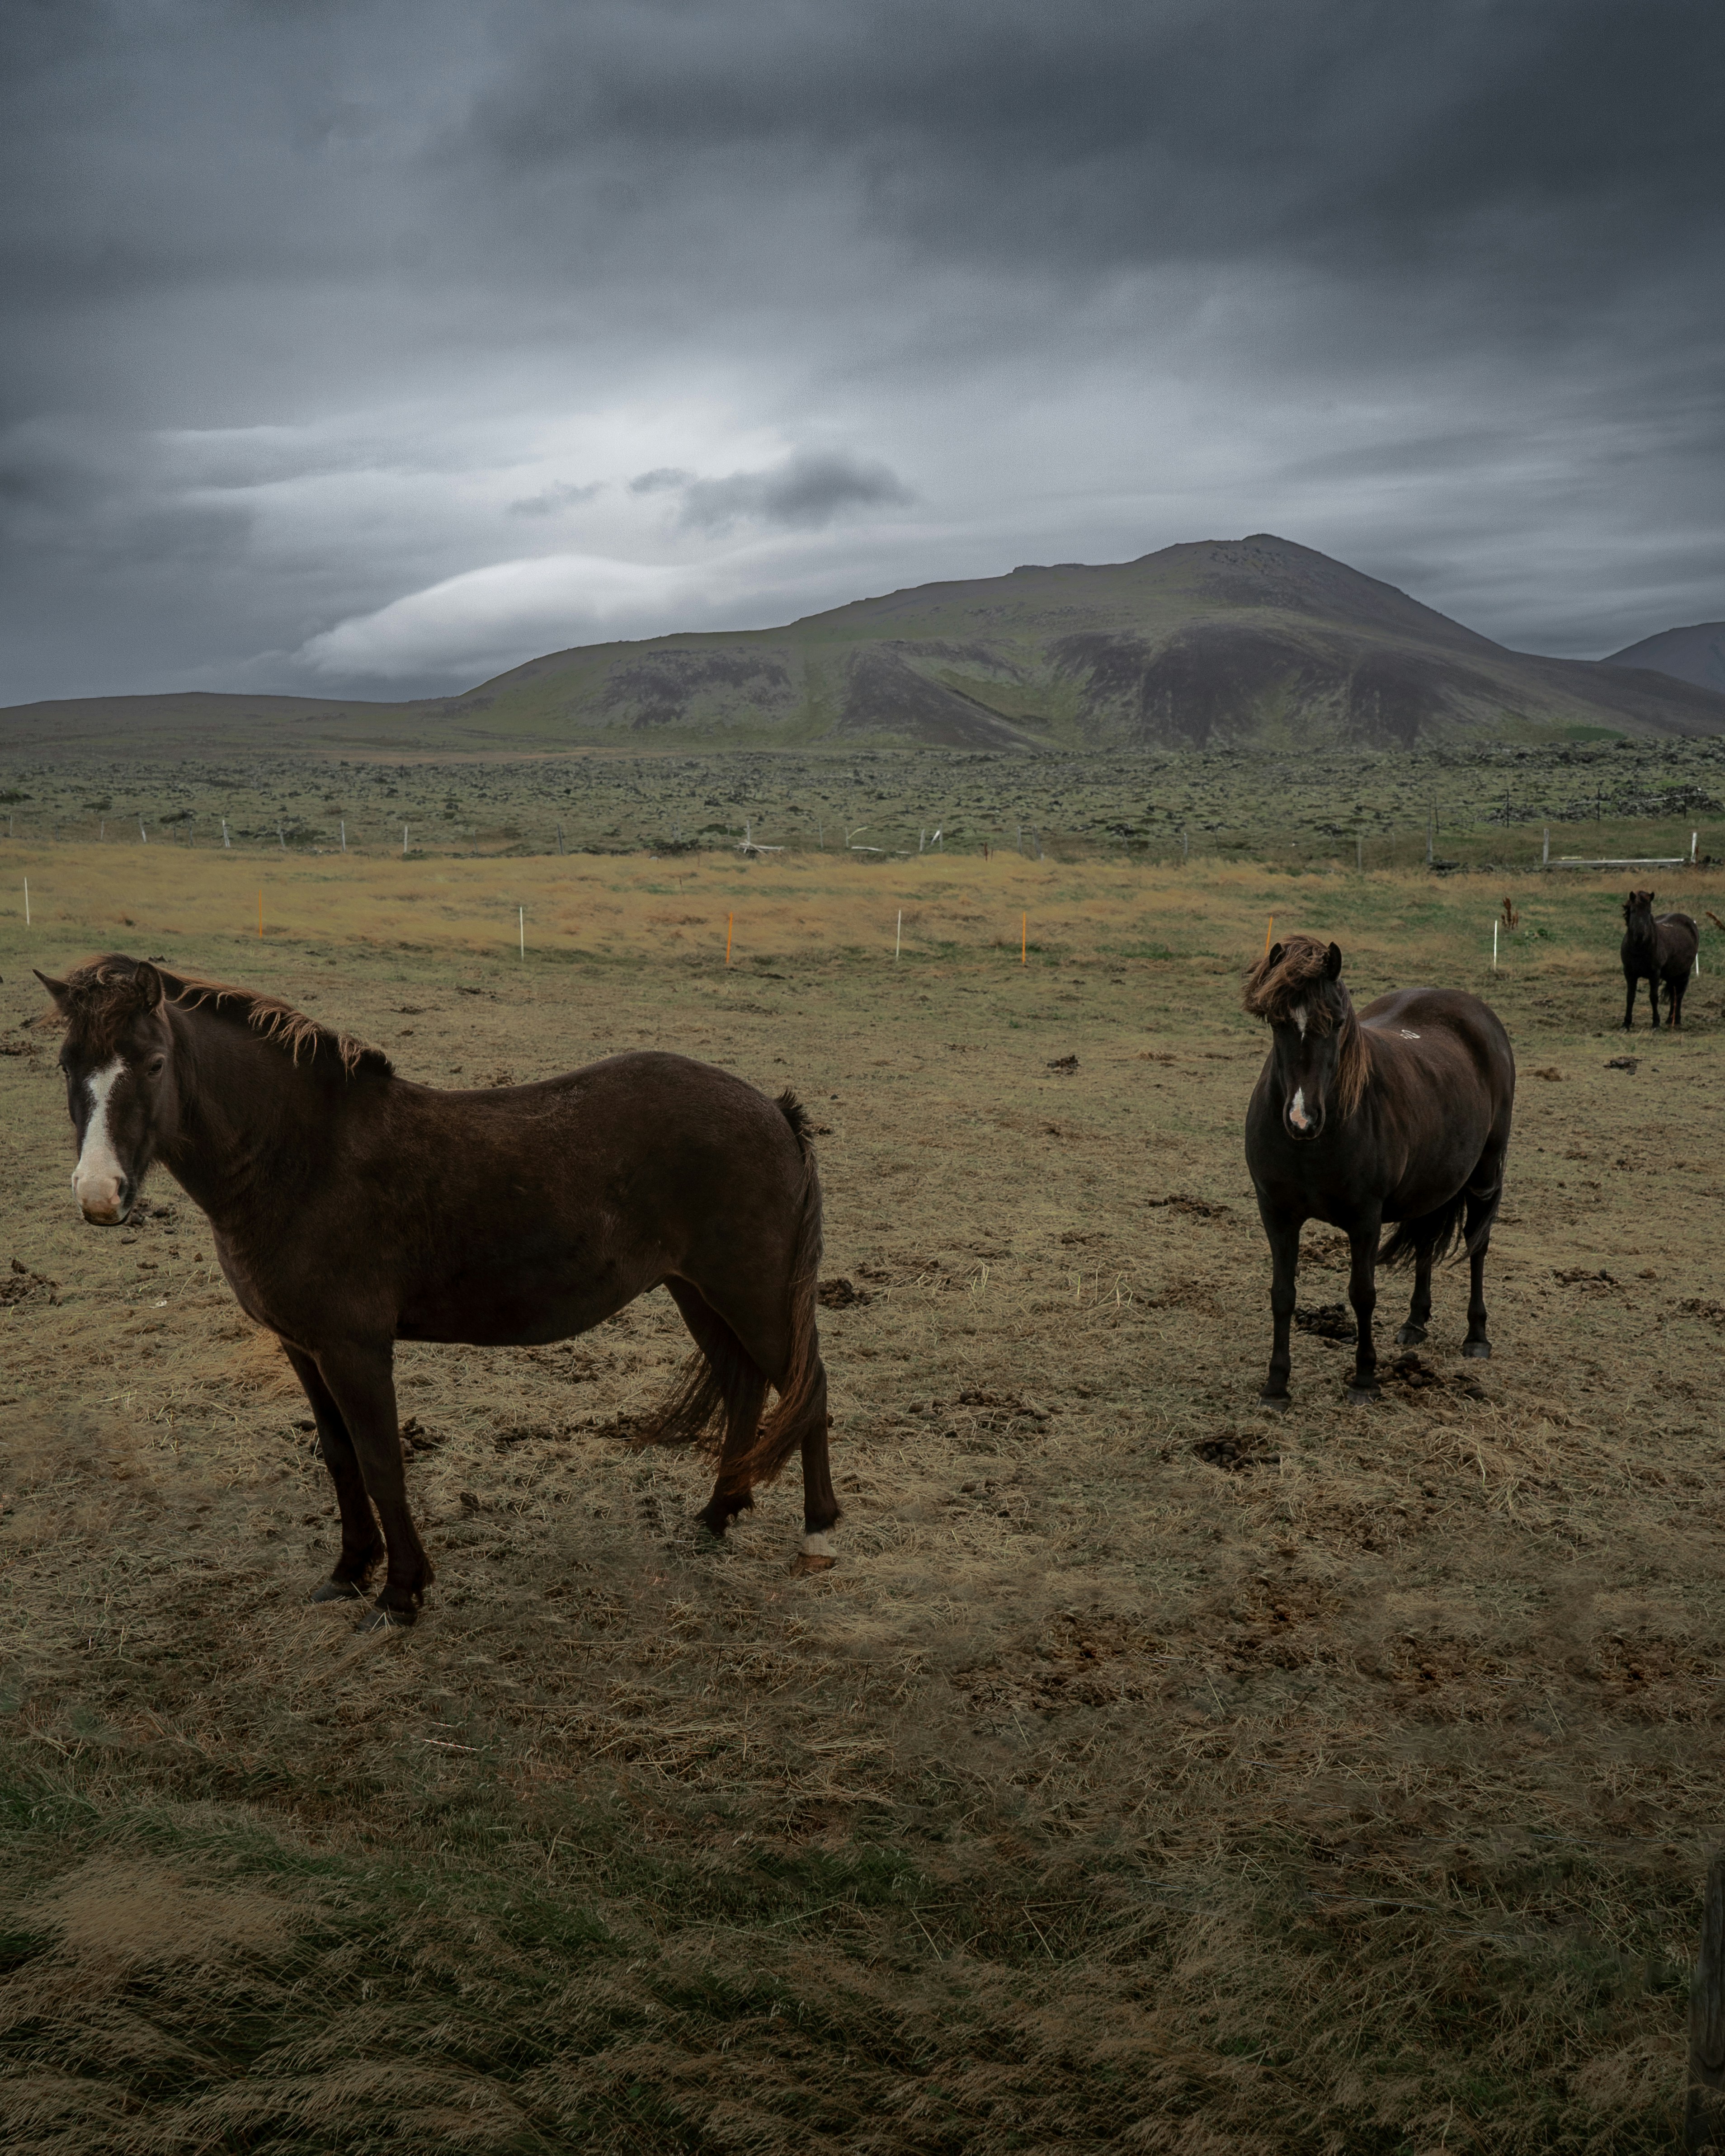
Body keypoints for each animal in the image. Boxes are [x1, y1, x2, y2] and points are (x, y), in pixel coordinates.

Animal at [35, 955, 838, 1629]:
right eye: (69, 1064)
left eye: (153, 1062)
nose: (99, 1195)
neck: (301, 1159)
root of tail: (773, 1109)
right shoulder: (303, 1347)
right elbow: (339, 1456)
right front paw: (349, 1571)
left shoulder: (355, 1350)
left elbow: (382, 1461)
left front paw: (401, 1593)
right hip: (698, 1292)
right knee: (744, 1388)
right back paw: (717, 1514)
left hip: (753, 1293)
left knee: (807, 1386)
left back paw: (818, 1534)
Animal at [1241, 936, 1516, 1408]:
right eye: (1278, 1022)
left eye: (1336, 1024)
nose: (1302, 1119)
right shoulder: (1276, 1214)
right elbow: (1282, 1294)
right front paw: (1276, 1386)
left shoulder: (1365, 1220)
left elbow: (1362, 1295)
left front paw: (1364, 1380)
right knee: (1425, 1242)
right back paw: (1415, 1324)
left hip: (1484, 1174)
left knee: (1477, 1245)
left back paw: (1477, 1336)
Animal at [1620, 890, 1698, 1029]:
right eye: (1633, 910)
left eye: (1648, 911)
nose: (1640, 935)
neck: (1639, 949)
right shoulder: (1629, 973)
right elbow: (1630, 997)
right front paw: (1626, 1023)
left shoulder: (1655, 974)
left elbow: (1654, 997)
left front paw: (1656, 1023)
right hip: (1672, 974)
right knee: (1674, 993)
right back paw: (1670, 1019)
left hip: (1684, 972)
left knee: (1679, 994)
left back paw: (1676, 1020)